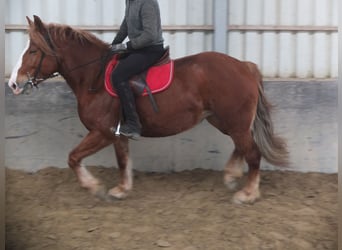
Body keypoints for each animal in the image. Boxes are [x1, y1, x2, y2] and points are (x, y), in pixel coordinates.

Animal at [8, 15, 288, 203]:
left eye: (33, 50)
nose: (13, 83)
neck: (93, 77)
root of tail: (244, 66)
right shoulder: (117, 134)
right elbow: (123, 161)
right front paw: (122, 189)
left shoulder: (102, 132)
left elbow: (73, 157)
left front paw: (94, 187)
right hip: (223, 120)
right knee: (242, 148)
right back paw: (231, 176)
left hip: (234, 121)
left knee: (253, 153)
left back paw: (247, 193)